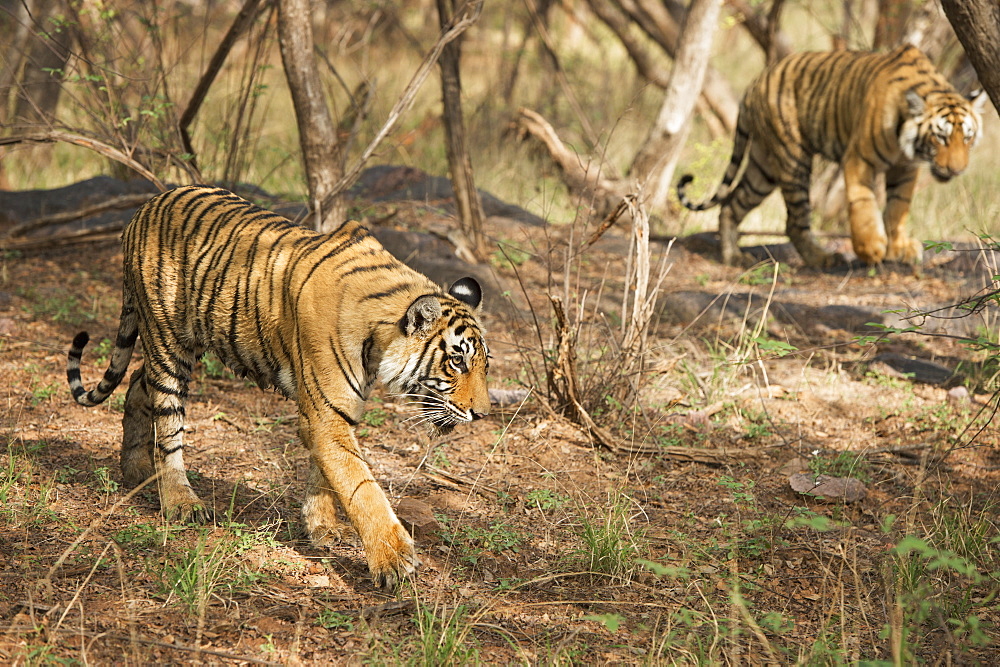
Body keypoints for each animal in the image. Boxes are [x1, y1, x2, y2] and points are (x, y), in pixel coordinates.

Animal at [66, 185, 492, 588]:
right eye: (457, 361)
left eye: (484, 364)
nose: (482, 414)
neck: (378, 340)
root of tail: (146, 206)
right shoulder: (326, 412)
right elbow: (360, 486)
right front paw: (393, 560)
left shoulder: (336, 412)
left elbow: (328, 474)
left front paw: (322, 529)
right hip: (168, 340)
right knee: (168, 424)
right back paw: (180, 501)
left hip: (184, 340)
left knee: (139, 382)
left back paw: (137, 470)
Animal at [676, 43, 988, 268]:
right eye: (941, 137)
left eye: (967, 137)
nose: (957, 170)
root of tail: (754, 84)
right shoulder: (860, 159)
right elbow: (863, 203)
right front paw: (872, 248)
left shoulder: (906, 167)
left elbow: (898, 207)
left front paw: (899, 249)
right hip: (793, 158)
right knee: (794, 222)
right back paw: (822, 258)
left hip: (762, 167)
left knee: (732, 204)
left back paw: (733, 257)